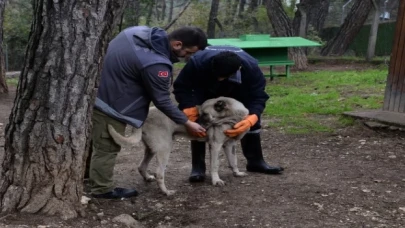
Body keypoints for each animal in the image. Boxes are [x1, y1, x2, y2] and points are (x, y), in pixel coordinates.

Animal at [107, 96, 248, 196]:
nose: (197, 125)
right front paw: (216, 181)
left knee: (141, 166)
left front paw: (237, 173)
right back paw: (166, 192)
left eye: (204, 114)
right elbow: (215, 165)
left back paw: (148, 178)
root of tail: (144, 117)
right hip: (165, 148)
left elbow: (234, 161)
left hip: (151, 149)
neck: (232, 116)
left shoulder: (230, 145)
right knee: (159, 173)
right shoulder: (215, 145)